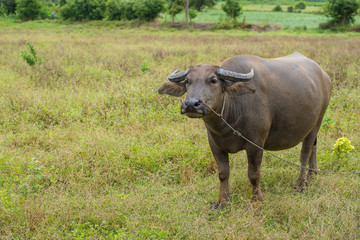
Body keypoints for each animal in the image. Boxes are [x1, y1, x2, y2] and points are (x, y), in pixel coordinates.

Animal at [158, 52, 332, 204]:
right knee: (314, 147)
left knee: (305, 153)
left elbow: (254, 174)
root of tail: (324, 76)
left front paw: (257, 200)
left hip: (317, 121)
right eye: (188, 81)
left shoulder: (255, 144)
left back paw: (301, 185)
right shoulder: (215, 145)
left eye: (213, 80)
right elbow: (223, 173)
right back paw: (312, 175)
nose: (191, 104)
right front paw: (222, 201)